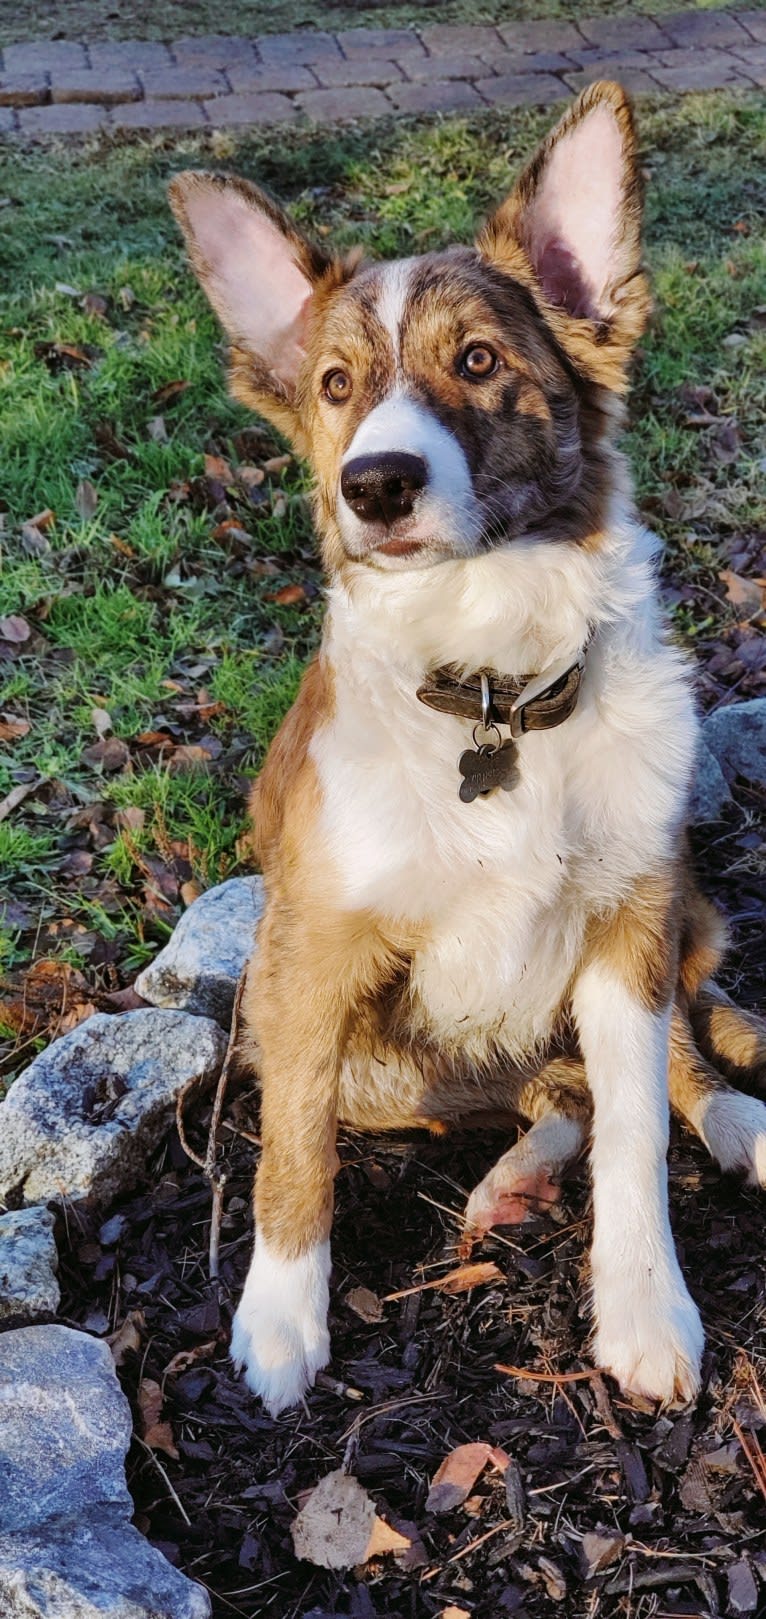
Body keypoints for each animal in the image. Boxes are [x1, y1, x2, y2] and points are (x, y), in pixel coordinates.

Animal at [168, 78, 764, 1418]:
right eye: (336, 383)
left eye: (479, 361)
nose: (375, 485)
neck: (494, 685)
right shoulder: (313, 953)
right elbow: (292, 1143)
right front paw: (279, 1323)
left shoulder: (627, 925)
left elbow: (641, 1130)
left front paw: (647, 1314)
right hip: (341, 1035)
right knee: (545, 1094)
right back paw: (511, 1176)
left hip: (674, 912)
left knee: (653, 1066)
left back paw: (733, 1123)